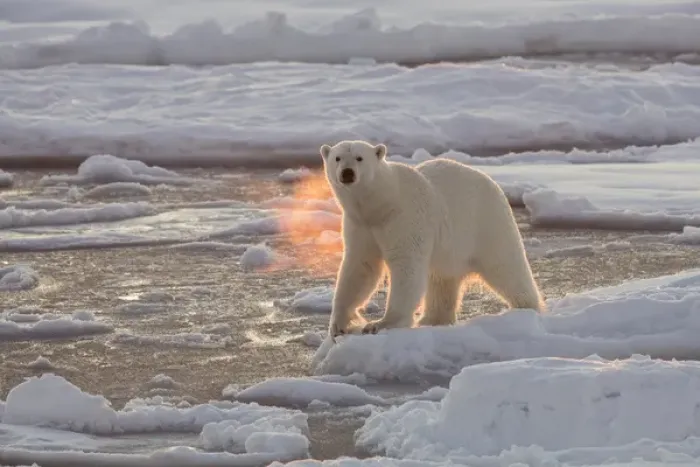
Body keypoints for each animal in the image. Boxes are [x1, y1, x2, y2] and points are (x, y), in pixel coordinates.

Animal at [320, 140, 545, 338]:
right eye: (337, 158)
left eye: (359, 158)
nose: (347, 173)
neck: (381, 205)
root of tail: (492, 183)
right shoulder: (360, 225)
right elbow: (361, 266)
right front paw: (338, 324)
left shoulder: (405, 218)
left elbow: (406, 265)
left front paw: (381, 323)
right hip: (451, 249)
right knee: (441, 280)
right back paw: (432, 319)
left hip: (486, 224)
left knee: (506, 266)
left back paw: (527, 307)